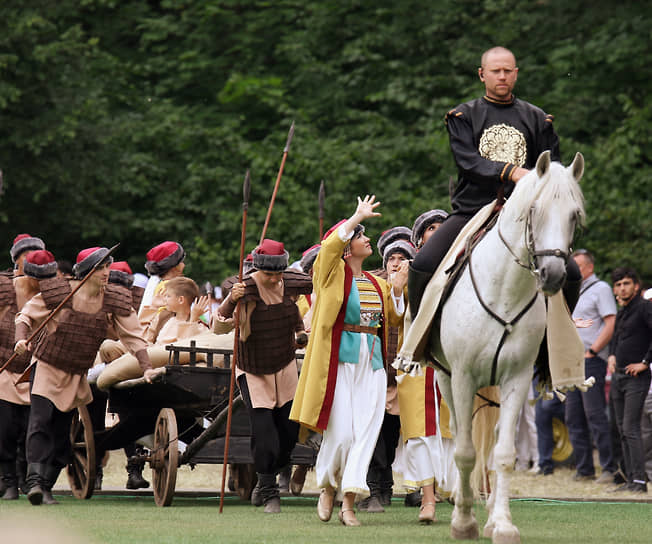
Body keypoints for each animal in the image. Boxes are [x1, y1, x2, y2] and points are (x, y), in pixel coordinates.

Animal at [430, 150, 584, 544]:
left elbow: (503, 454)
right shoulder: (463, 376)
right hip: (445, 378)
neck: (505, 290)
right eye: (535, 210)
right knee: (461, 435)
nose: (553, 275)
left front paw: (501, 523)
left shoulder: (515, 378)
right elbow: (464, 451)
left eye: (574, 214)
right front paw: (463, 521)